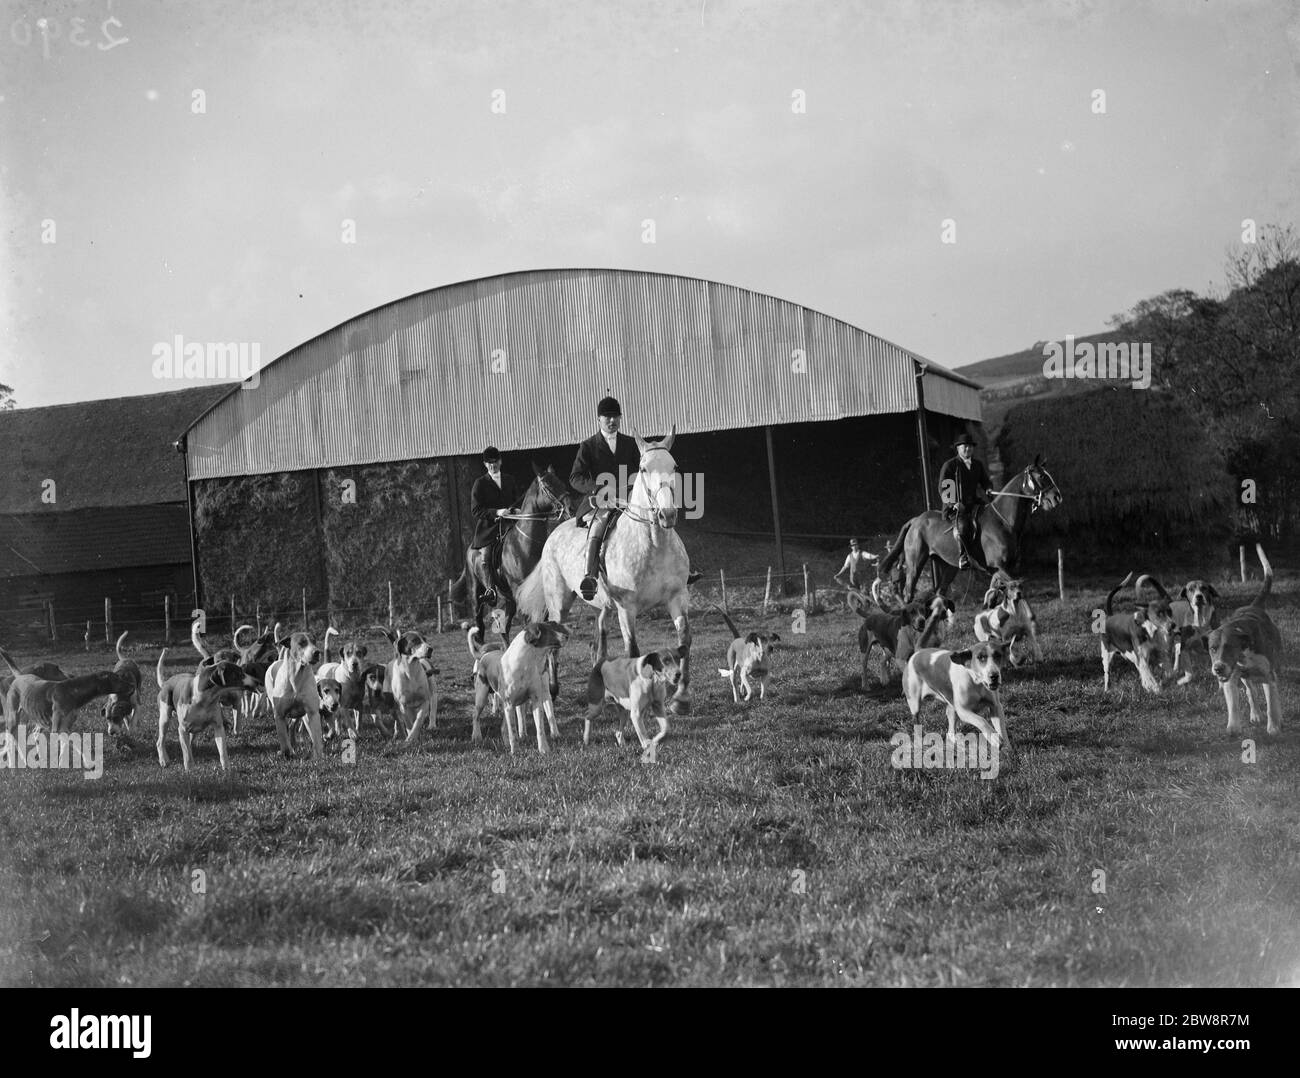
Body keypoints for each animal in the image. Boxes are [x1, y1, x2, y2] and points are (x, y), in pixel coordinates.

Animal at [449, 460, 577, 639]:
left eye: (561, 483)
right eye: (548, 485)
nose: (571, 508)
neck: (525, 544)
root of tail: (469, 550)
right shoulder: (520, 591)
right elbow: (528, 623)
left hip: (508, 599)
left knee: (504, 628)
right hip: (477, 595)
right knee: (480, 626)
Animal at [514, 423, 696, 712]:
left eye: (674, 466)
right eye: (644, 469)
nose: (667, 515)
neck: (655, 543)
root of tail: (553, 534)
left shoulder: (678, 597)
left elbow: (684, 643)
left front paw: (681, 698)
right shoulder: (627, 608)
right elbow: (633, 651)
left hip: (603, 606)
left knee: (597, 642)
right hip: (560, 603)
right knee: (555, 643)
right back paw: (553, 690)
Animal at [878, 457, 1060, 600]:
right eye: (1042, 476)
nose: (1057, 497)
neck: (1003, 521)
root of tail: (916, 520)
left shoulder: (998, 570)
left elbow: (992, 596)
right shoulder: (999, 567)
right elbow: (1015, 587)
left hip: (948, 567)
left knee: (939, 593)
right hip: (915, 565)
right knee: (908, 592)